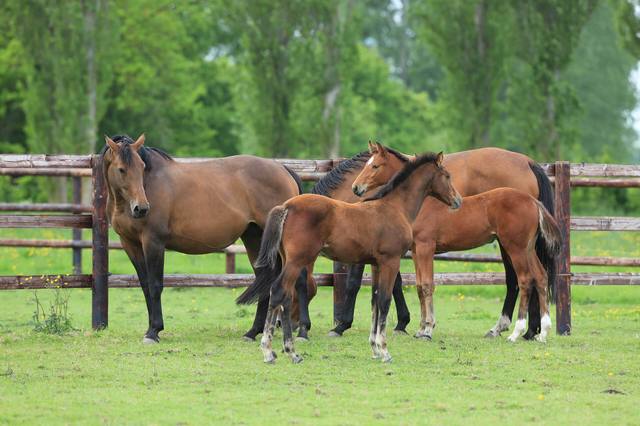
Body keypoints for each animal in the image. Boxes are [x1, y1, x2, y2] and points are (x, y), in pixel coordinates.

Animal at [101, 134, 312, 343]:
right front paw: (150, 329)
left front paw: (154, 331)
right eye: (121, 169)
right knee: (266, 278)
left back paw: (302, 331)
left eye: (142, 167)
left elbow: (155, 285)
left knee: (300, 279)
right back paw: (253, 332)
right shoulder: (130, 244)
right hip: (255, 238)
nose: (142, 208)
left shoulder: (153, 242)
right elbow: (145, 285)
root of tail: (283, 169)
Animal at [238, 152, 462, 363]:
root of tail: (286, 207)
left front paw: (374, 349)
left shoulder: (377, 264)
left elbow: (374, 301)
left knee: (284, 295)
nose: (458, 200)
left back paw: (283, 349)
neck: (394, 207)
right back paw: (277, 351)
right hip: (297, 260)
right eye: (447, 176)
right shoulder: (390, 261)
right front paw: (385, 350)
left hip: (288, 259)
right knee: (278, 291)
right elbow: (384, 300)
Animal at [320, 142, 555, 340]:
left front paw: (426, 329)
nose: (356, 188)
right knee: (540, 276)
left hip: (513, 247)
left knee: (520, 280)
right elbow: (415, 285)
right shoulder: (413, 250)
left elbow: (424, 285)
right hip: (526, 248)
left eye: (375, 166)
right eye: (368, 164)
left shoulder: (423, 247)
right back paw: (537, 332)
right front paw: (417, 327)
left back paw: (516, 331)